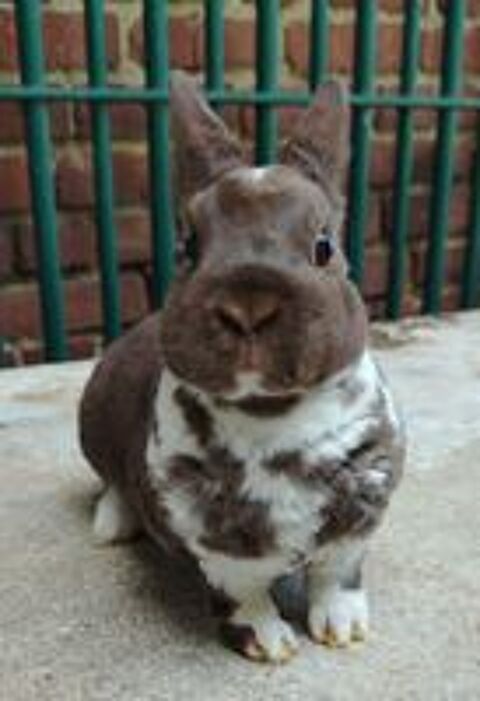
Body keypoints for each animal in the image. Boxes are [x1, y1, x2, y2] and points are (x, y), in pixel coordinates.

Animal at [79, 71, 405, 664]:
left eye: (324, 246)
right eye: (188, 247)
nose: (248, 304)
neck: (270, 416)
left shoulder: (359, 518)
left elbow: (336, 577)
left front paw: (344, 629)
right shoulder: (215, 545)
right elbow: (244, 595)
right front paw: (270, 644)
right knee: (110, 480)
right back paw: (110, 527)